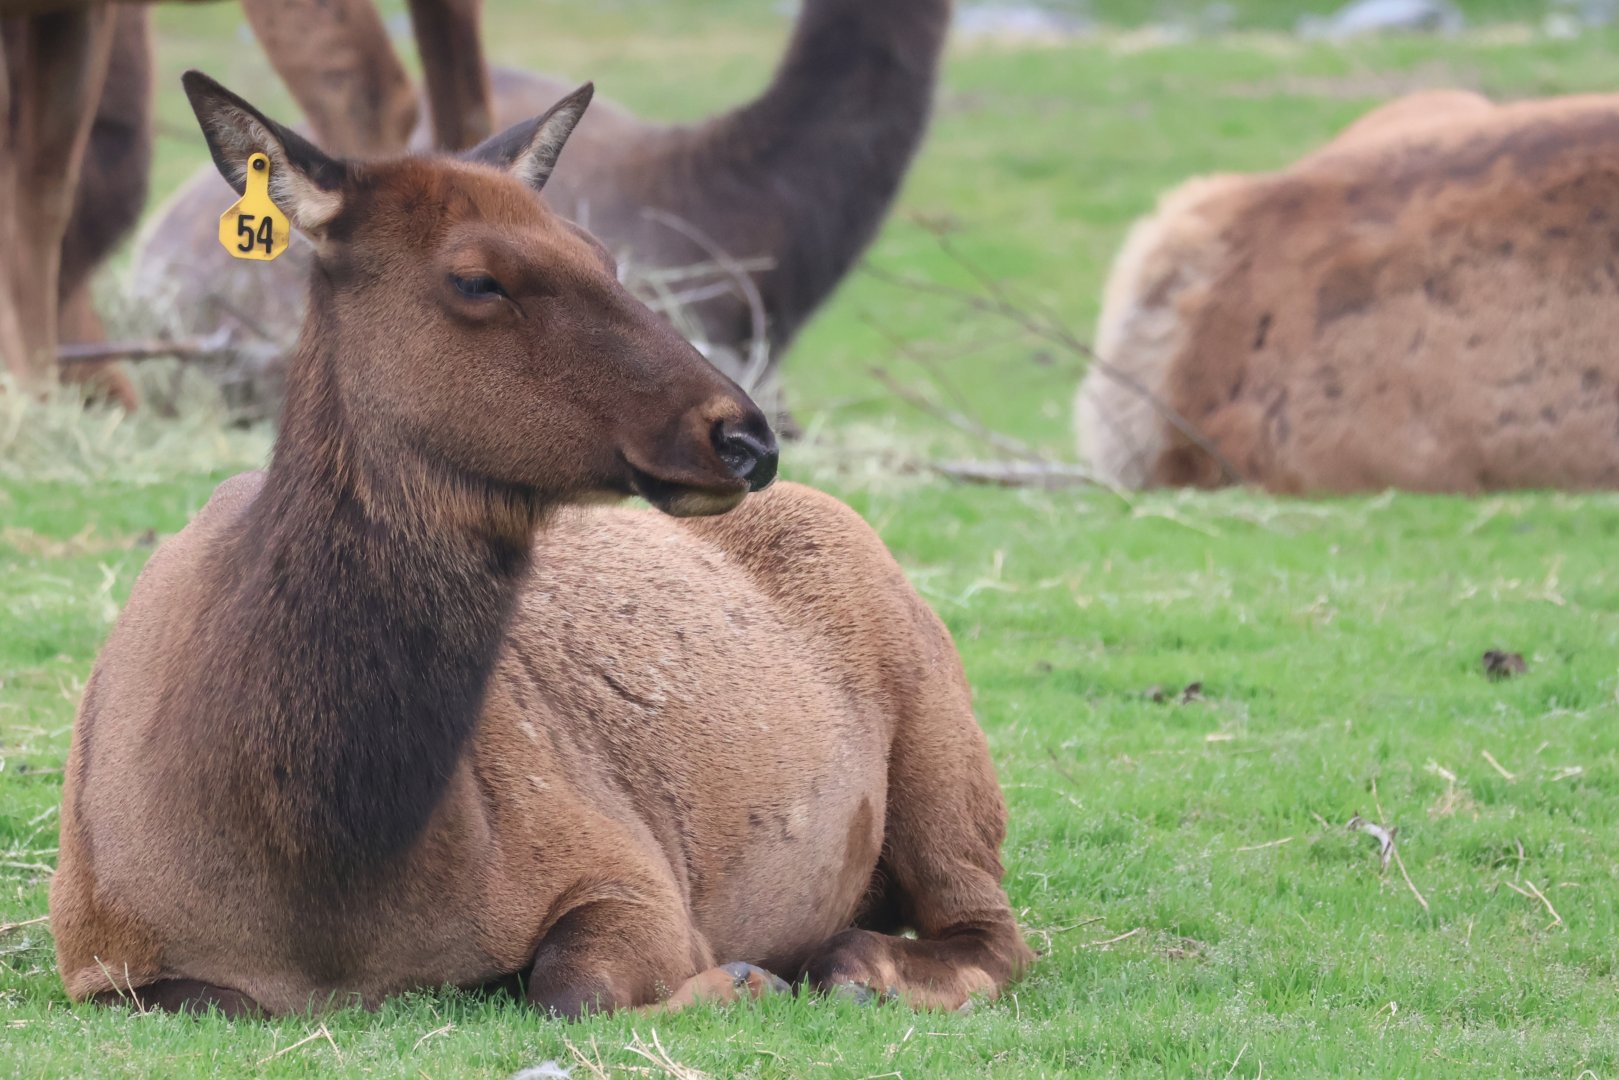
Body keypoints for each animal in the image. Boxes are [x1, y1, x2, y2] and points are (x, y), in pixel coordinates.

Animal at [49, 71, 1032, 1018]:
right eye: (478, 278)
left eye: (603, 254)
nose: (747, 438)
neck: (324, 894)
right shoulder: (99, 950)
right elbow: (208, 1002)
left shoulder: (627, 865)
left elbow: (573, 991)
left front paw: (742, 979)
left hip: (943, 741)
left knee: (993, 930)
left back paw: (857, 964)